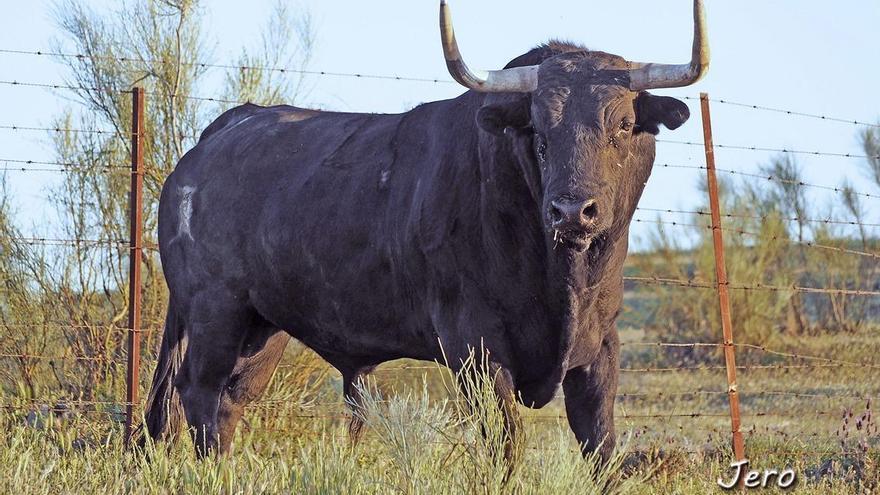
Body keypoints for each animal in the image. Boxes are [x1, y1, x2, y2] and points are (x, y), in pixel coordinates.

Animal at [144, 41, 696, 462]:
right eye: (538, 130)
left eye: (622, 124)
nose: (571, 210)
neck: (560, 277)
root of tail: (217, 136)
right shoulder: (474, 347)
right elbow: (506, 443)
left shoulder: (600, 345)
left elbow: (600, 446)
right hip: (215, 311)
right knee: (198, 394)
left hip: (262, 328)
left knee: (230, 402)